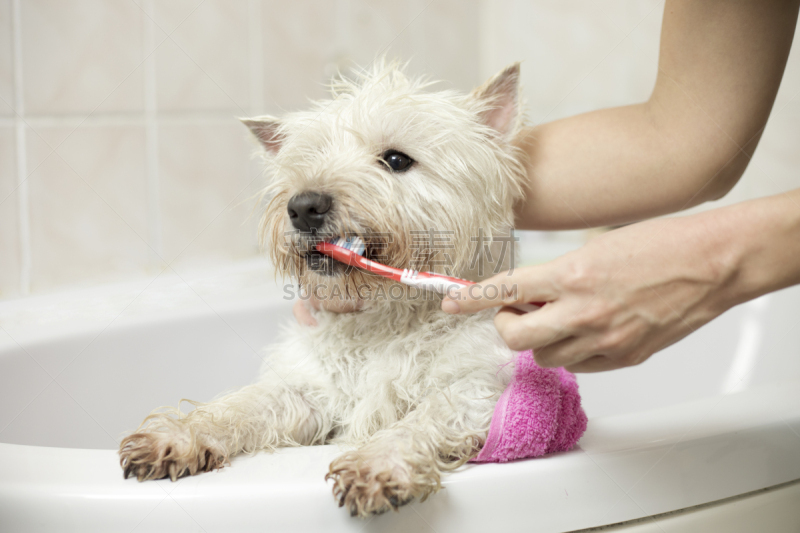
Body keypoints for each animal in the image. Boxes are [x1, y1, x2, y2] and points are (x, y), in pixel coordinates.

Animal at [120, 60, 524, 516]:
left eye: (396, 159)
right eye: (306, 161)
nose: (303, 206)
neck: (384, 319)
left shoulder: (475, 389)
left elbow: (421, 420)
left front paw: (377, 463)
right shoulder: (308, 392)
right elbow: (242, 405)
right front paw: (176, 435)